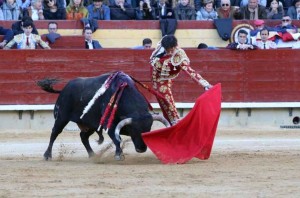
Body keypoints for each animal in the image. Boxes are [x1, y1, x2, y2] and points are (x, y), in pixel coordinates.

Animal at [37, 72, 169, 160]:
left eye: (148, 129)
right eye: (133, 130)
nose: (141, 149)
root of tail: (64, 89)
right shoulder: (109, 125)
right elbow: (116, 139)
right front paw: (118, 155)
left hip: (90, 124)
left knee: (83, 136)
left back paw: (92, 155)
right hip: (61, 117)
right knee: (54, 133)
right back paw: (47, 155)